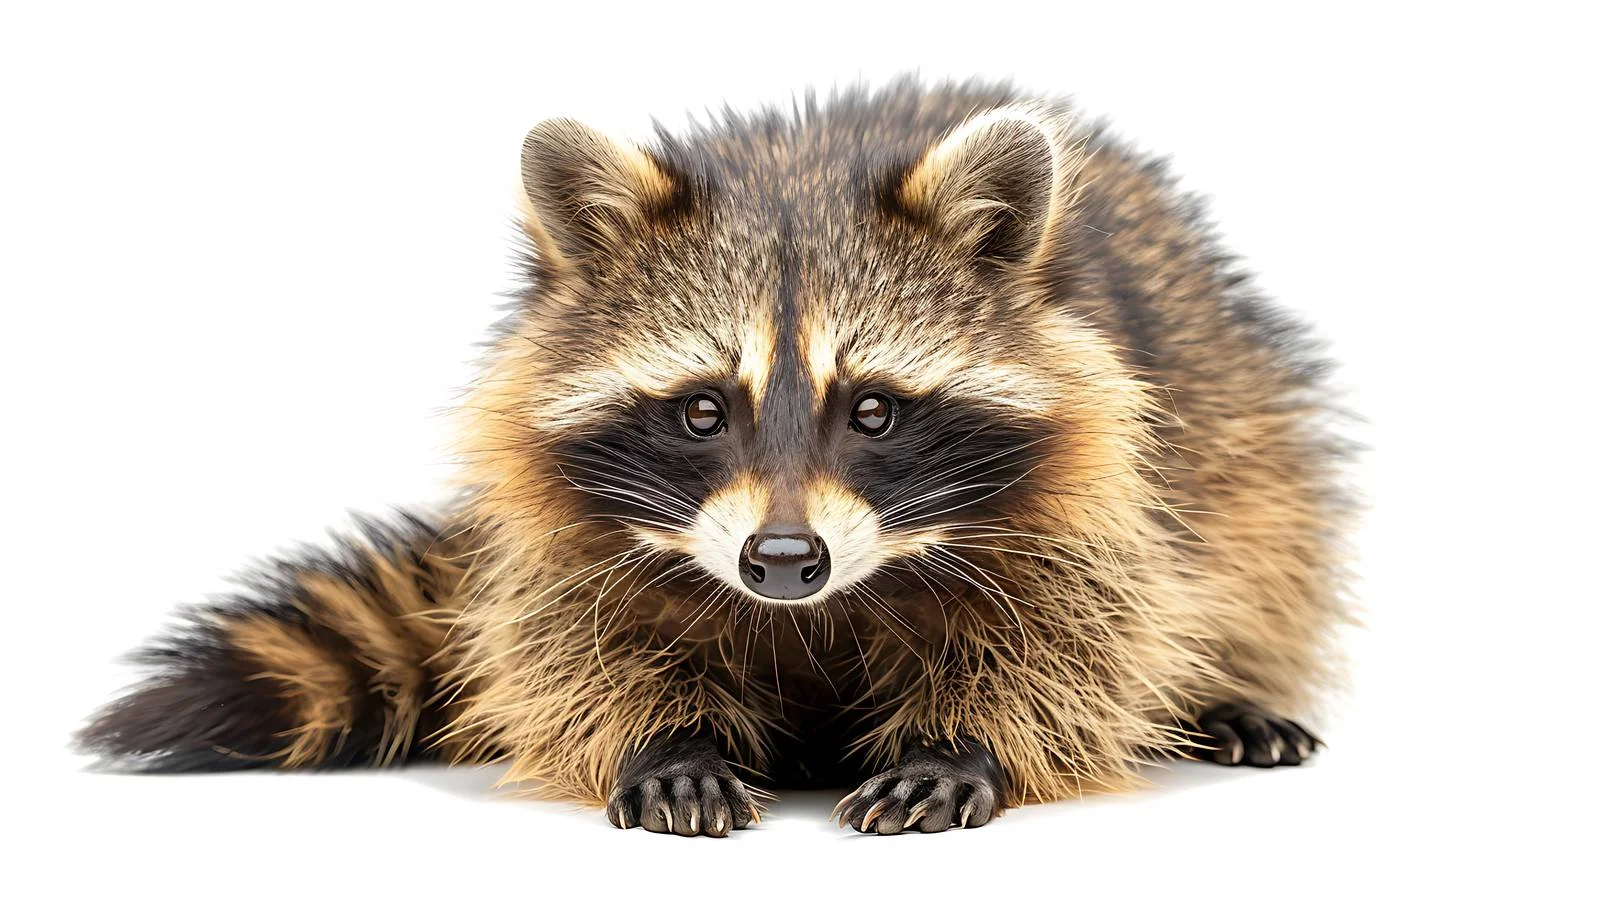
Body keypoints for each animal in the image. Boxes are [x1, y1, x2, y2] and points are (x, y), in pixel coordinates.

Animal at [79, 79, 1349, 836]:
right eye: (701, 412)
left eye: (872, 411)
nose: (782, 561)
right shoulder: (569, 520)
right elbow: (570, 638)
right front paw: (663, 737)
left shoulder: (1096, 485)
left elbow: (1076, 637)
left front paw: (964, 741)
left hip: (1240, 412)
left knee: (1254, 540)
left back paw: (1227, 688)